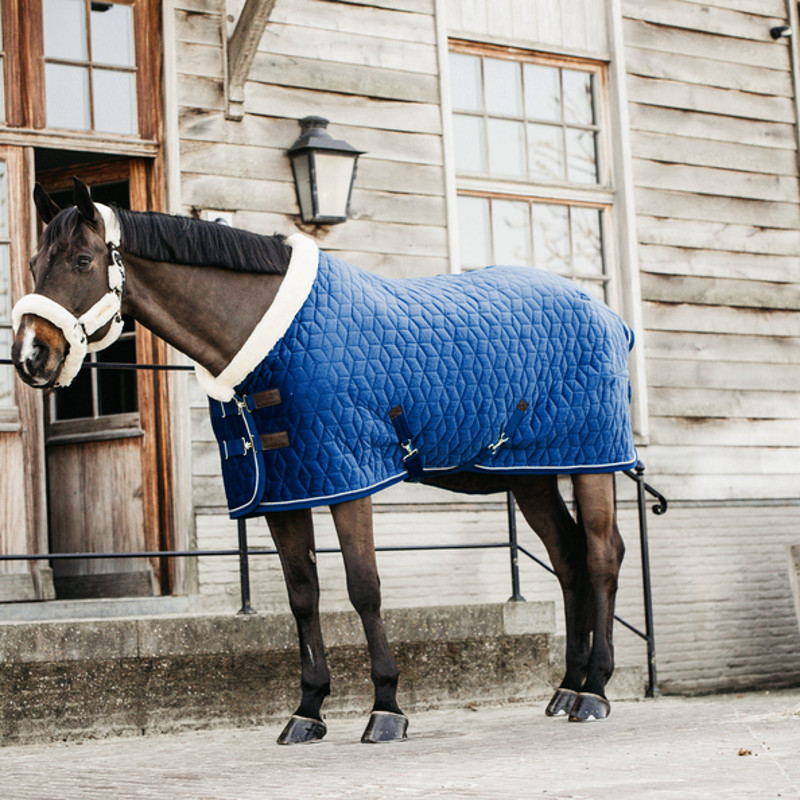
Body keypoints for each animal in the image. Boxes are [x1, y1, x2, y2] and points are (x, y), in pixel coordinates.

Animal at [12, 178, 632, 743]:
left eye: (83, 260)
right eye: (35, 262)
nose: (29, 355)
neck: (265, 338)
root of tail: (606, 314)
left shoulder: (347, 479)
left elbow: (363, 587)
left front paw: (386, 708)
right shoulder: (286, 488)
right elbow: (302, 595)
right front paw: (307, 710)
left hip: (593, 460)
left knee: (602, 556)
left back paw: (596, 692)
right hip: (532, 473)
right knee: (569, 558)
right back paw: (568, 686)